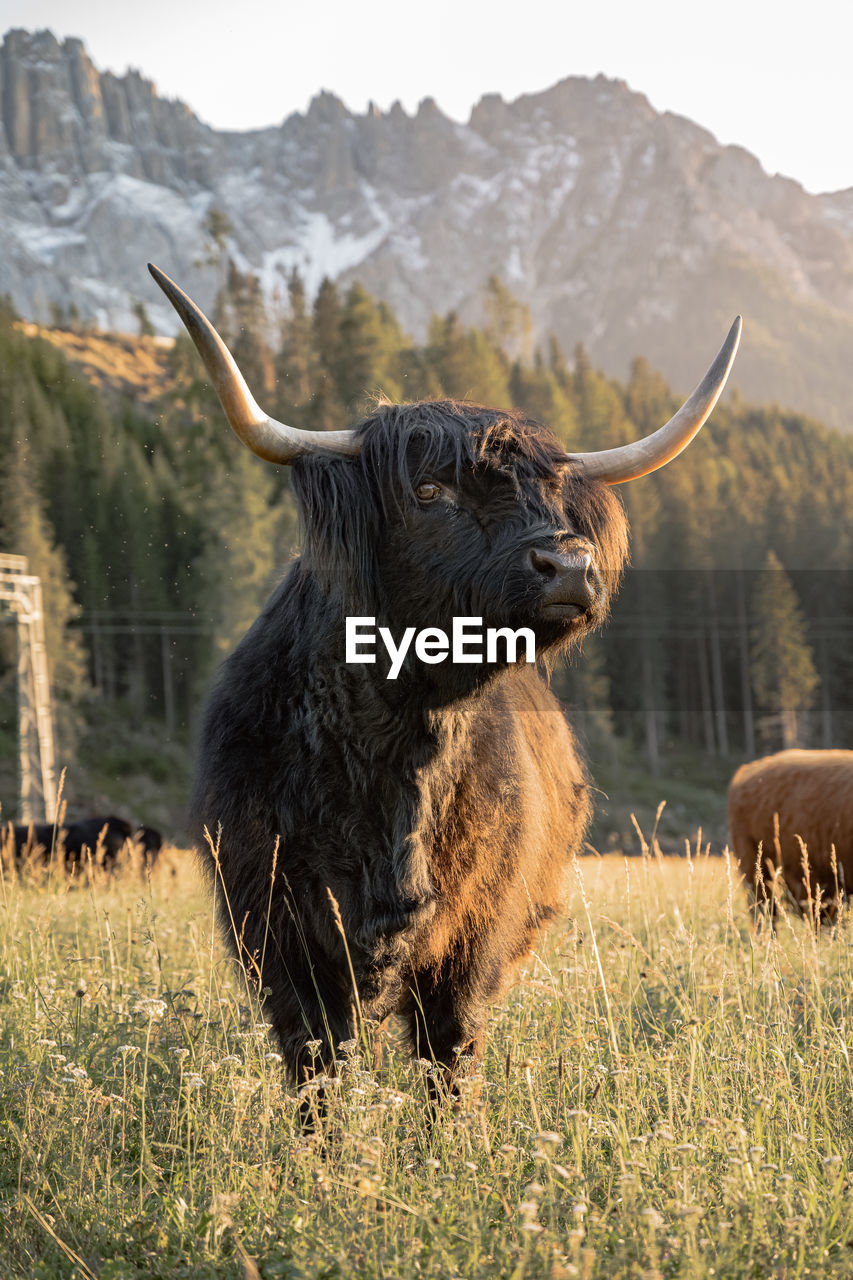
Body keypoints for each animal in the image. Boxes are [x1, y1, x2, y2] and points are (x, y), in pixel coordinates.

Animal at [149, 262, 732, 1100]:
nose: (569, 565)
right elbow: (319, 1066)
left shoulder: (473, 937)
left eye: (554, 496)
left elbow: (447, 1056)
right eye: (428, 491)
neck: (397, 740)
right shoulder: (278, 930)